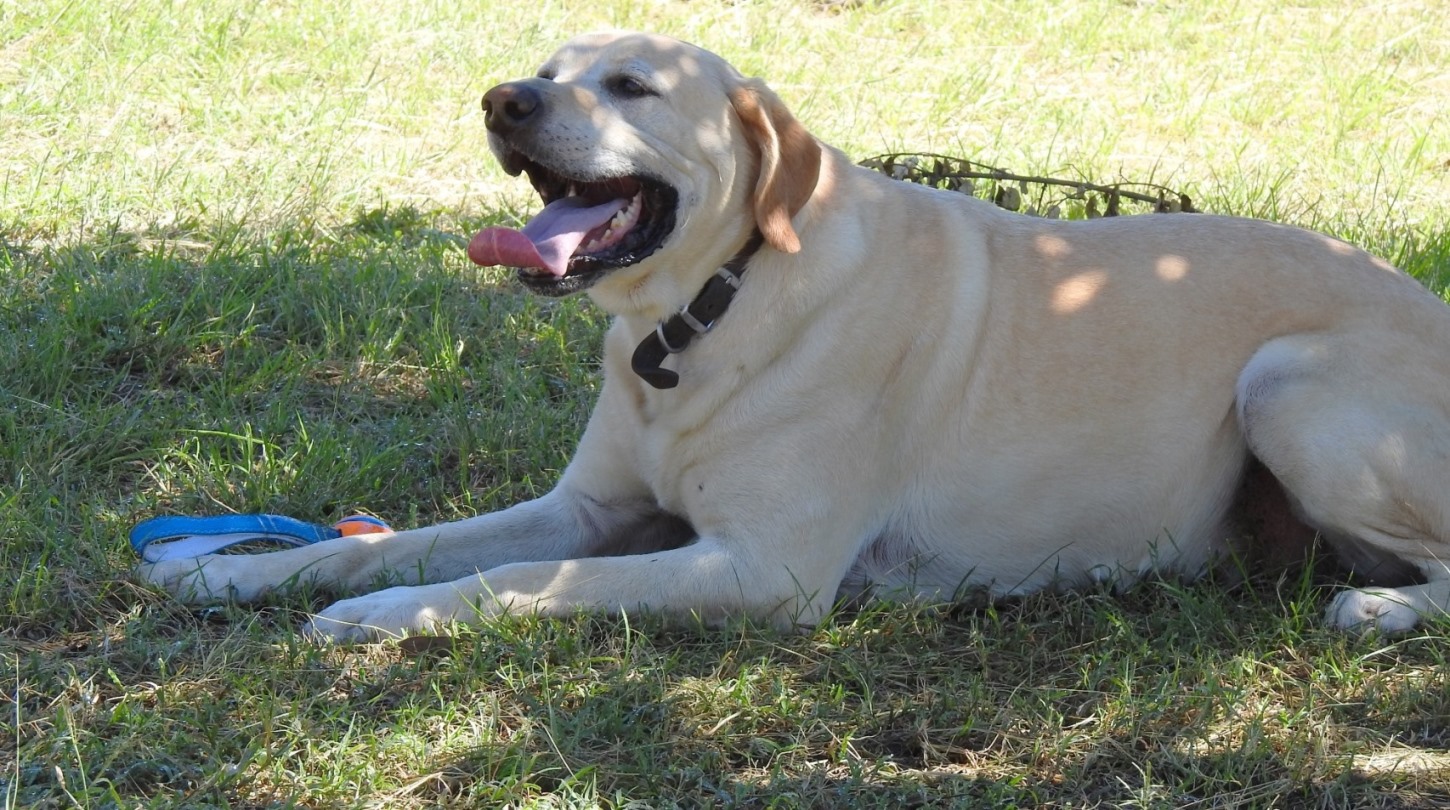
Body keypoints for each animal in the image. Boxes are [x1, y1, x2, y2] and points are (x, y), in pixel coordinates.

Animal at [136, 31, 1450, 643]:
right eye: (546, 68)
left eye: (629, 85)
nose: (503, 101)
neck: (705, 312)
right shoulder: (592, 508)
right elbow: (408, 542)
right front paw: (235, 568)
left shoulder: (758, 569)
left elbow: (519, 577)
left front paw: (377, 620)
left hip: (1287, 388)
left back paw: (1380, 611)